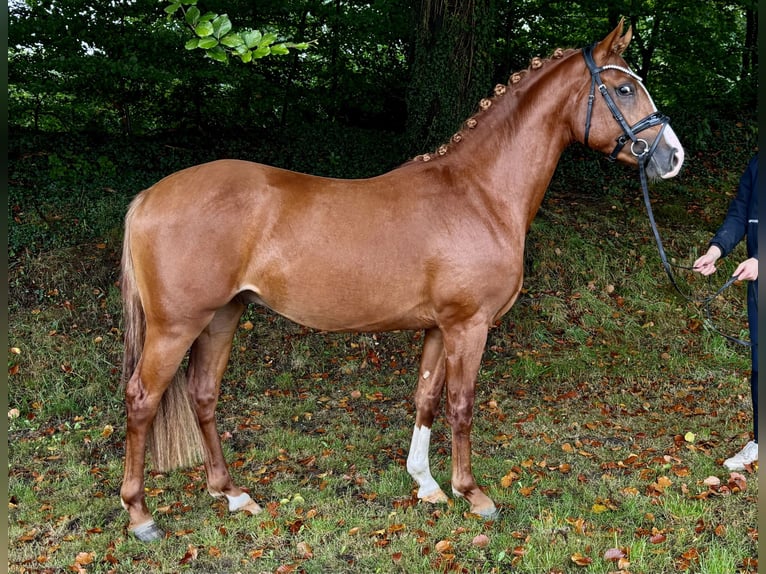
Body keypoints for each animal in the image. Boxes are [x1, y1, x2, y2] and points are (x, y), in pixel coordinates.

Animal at [120, 20, 684, 544]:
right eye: (624, 88)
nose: (673, 156)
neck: (479, 194)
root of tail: (148, 196)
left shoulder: (439, 327)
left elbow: (426, 398)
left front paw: (427, 484)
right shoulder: (468, 326)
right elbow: (461, 405)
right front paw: (472, 493)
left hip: (223, 316)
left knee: (203, 394)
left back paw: (232, 494)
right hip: (177, 326)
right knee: (142, 400)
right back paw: (141, 515)